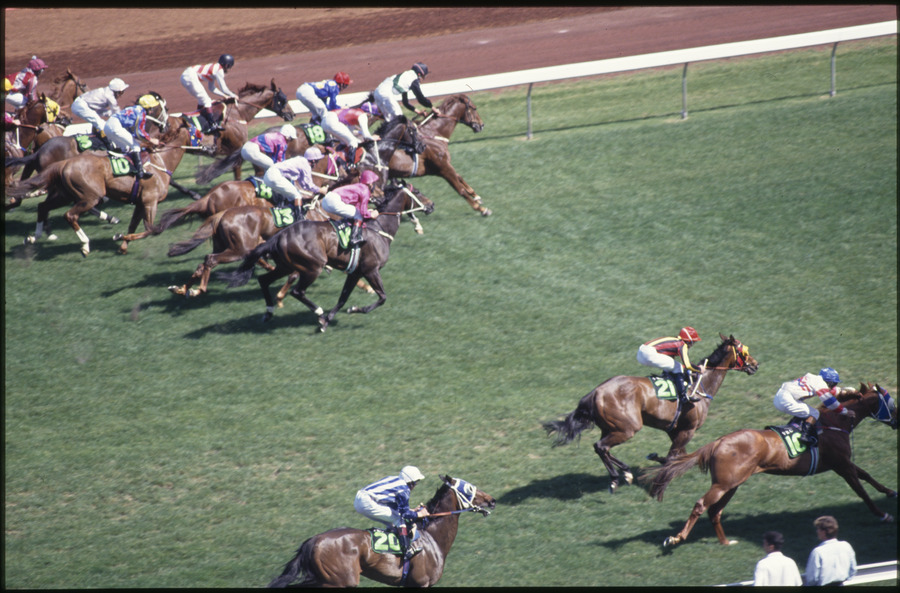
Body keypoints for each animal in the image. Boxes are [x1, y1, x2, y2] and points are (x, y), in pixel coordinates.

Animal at [223, 180, 438, 330]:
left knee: (264, 280)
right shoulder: (371, 270)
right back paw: (317, 311)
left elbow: (343, 298)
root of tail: (280, 235)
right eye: (417, 192)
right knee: (297, 291)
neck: (380, 228)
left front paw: (330, 318)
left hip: (285, 265)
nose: (432, 205)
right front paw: (353, 310)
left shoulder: (355, 272)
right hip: (312, 267)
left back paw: (269, 312)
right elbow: (382, 297)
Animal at [268, 476, 496, 588]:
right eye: (470, 488)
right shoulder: (422, 583)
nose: (492, 500)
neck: (432, 538)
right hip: (339, 581)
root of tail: (313, 540)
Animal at [358, 95, 492, 217]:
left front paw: (476, 196)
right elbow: (460, 189)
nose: (481, 125)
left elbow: (460, 177)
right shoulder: (443, 168)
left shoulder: (439, 168)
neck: (434, 133)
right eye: (474, 108)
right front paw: (482, 209)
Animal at [540, 336, 760, 492]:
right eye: (744, 350)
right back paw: (615, 478)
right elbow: (672, 458)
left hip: (612, 427)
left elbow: (678, 456)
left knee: (603, 448)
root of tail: (595, 392)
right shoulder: (687, 430)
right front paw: (660, 475)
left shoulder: (675, 430)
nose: (755, 364)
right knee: (601, 446)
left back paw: (625, 472)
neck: (700, 384)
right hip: (628, 428)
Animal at [652, 384, 896, 544]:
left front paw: (890, 491)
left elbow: (866, 475)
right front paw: (883, 514)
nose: (897, 421)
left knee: (715, 511)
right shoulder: (842, 466)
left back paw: (725, 542)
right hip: (724, 484)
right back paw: (677, 538)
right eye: (891, 403)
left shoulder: (843, 463)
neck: (834, 423)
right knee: (701, 505)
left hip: (731, 484)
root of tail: (718, 441)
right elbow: (862, 492)